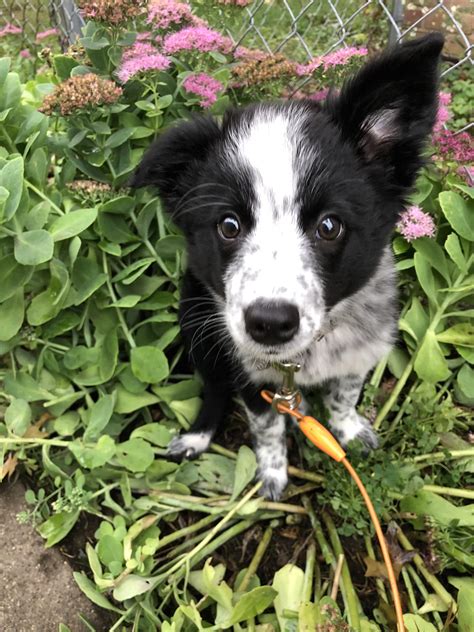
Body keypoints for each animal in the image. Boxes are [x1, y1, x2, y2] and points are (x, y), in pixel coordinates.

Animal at [132, 33, 444, 498]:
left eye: (329, 225)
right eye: (228, 225)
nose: (270, 323)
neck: (302, 359)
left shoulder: (363, 351)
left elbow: (345, 394)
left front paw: (348, 430)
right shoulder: (250, 375)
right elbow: (267, 427)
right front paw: (273, 474)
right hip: (198, 328)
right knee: (213, 390)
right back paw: (198, 436)